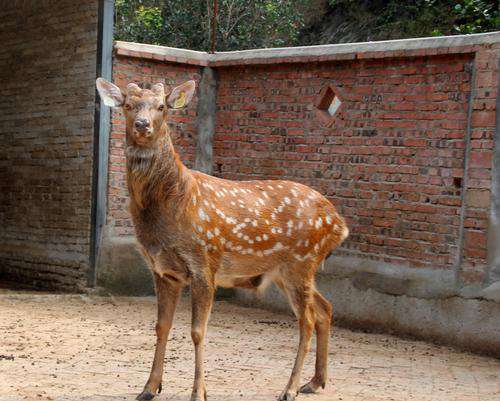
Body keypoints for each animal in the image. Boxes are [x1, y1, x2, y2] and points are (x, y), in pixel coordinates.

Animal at [95, 77, 350, 400]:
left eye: (162, 106)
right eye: (128, 105)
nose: (142, 124)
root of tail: (340, 224)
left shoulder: (205, 262)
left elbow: (197, 331)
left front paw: (198, 392)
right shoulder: (162, 270)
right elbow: (161, 326)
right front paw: (149, 388)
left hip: (302, 261)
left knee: (306, 320)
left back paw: (290, 389)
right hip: (286, 270)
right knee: (325, 309)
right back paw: (315, 381)